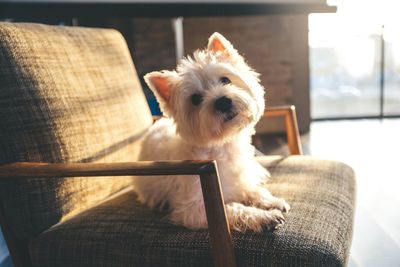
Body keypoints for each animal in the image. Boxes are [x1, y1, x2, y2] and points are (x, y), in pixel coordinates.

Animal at [133, 31, 290, 232]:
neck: (222, 146)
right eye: (195, 99)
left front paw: (271, 201)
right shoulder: (195, 209)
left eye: (225, 80)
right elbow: (234, 208)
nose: (222, 102)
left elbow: (253, 189)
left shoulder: (243, 178)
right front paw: (265, 217)